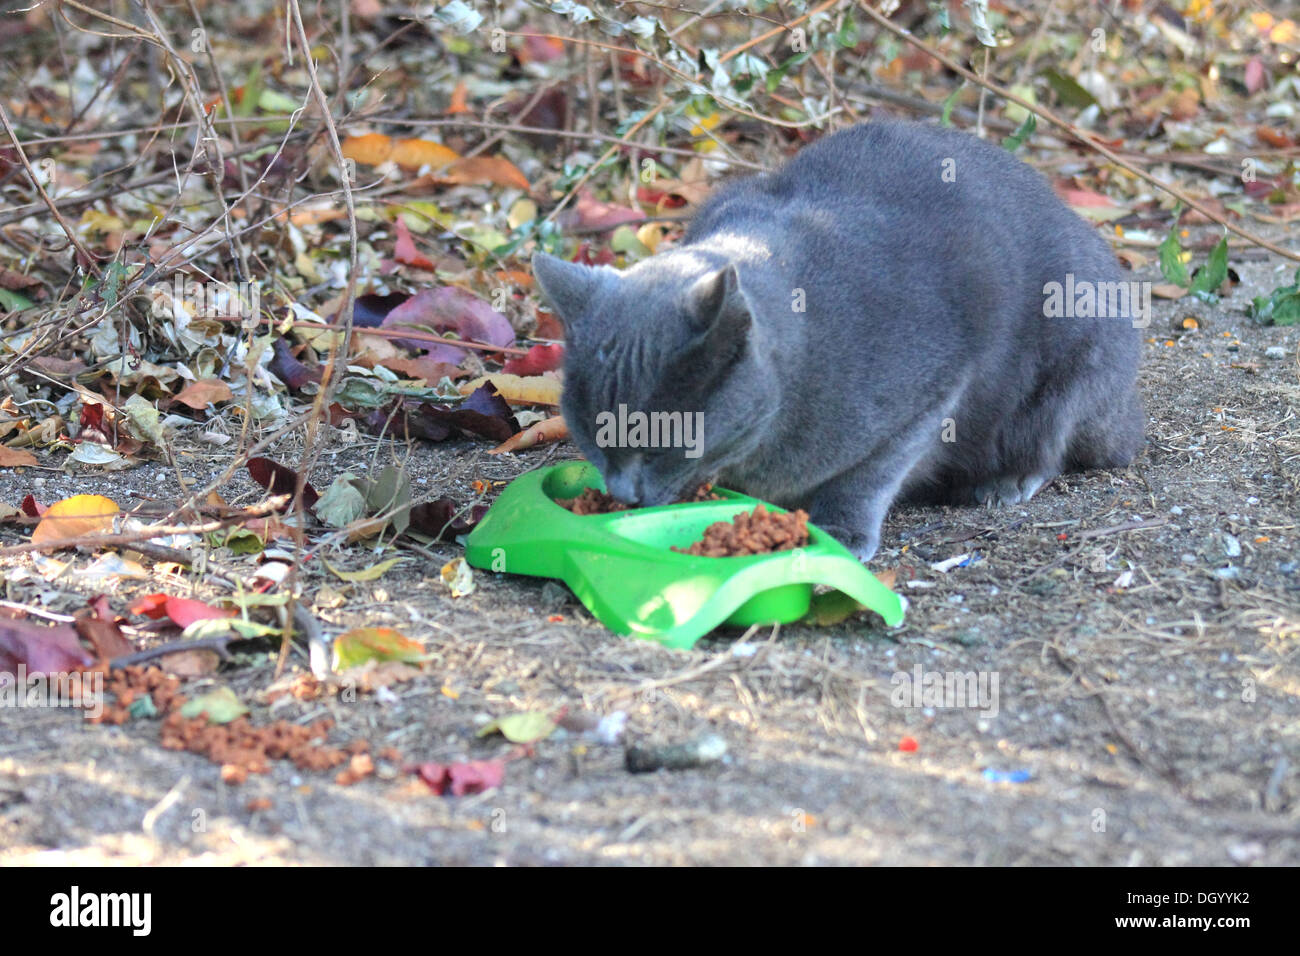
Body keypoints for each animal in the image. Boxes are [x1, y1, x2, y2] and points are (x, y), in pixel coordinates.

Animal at [533, 123, 1144, 564]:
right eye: (589, 432)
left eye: (664, 440)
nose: (622, 493)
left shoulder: (930, 395)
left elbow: (869, 474)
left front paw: (840, 529)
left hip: (1073, 358)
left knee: (1052, 441)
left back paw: (1005, 480)